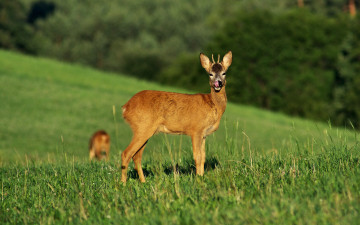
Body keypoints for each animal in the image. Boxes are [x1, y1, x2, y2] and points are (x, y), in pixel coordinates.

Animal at [121, 51, 233, 183]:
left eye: (224, 73)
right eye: (210, 74)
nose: (218, 83)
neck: (212, 104)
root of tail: (126, 107)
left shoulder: (204, 134)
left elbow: (203, 157)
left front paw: (201, 177)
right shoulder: (196, 130)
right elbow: (197, 156)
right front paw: (198, 179)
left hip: (145, 130)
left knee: (136, 156)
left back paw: (143, 182)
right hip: (142, 127)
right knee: (126, 153)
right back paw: (122, 183)